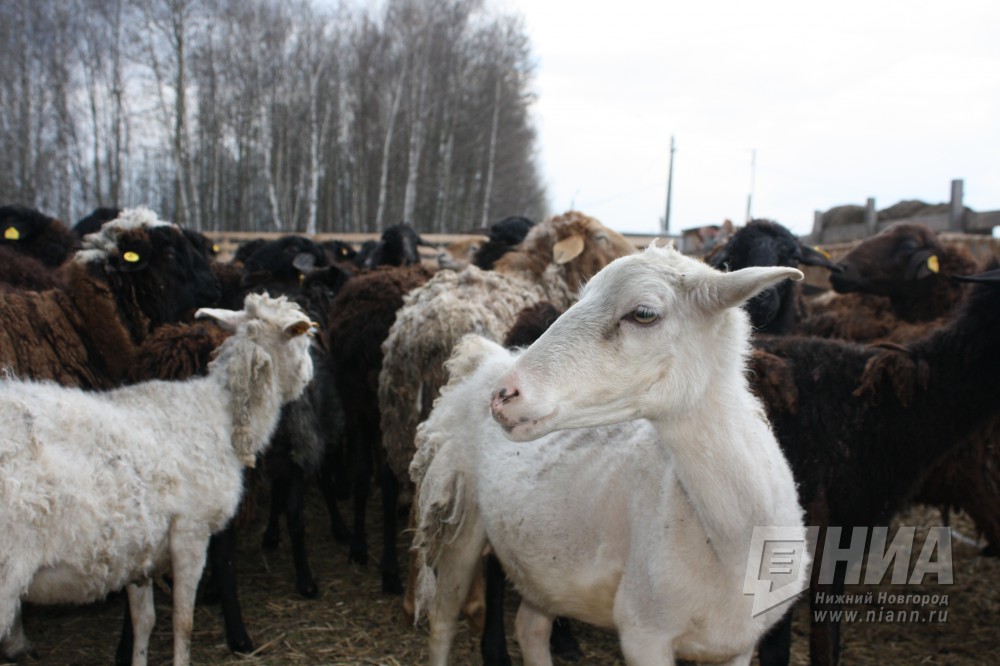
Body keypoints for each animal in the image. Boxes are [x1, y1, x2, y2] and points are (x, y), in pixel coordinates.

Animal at [0, 290, 316, 664]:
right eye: (301, 339)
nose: (311, 375)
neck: (221, 414)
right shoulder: (191, 533)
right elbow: (183, 621)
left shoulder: (141, 553)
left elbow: (144, 621)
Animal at [410, 244, 808, 664]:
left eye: (644, 313)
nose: (504, 395)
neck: (731, 540)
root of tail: (485, 357)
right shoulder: (644, 632)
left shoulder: (740, 646)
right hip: (459, 515)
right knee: (442, 620)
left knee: (530, 627)